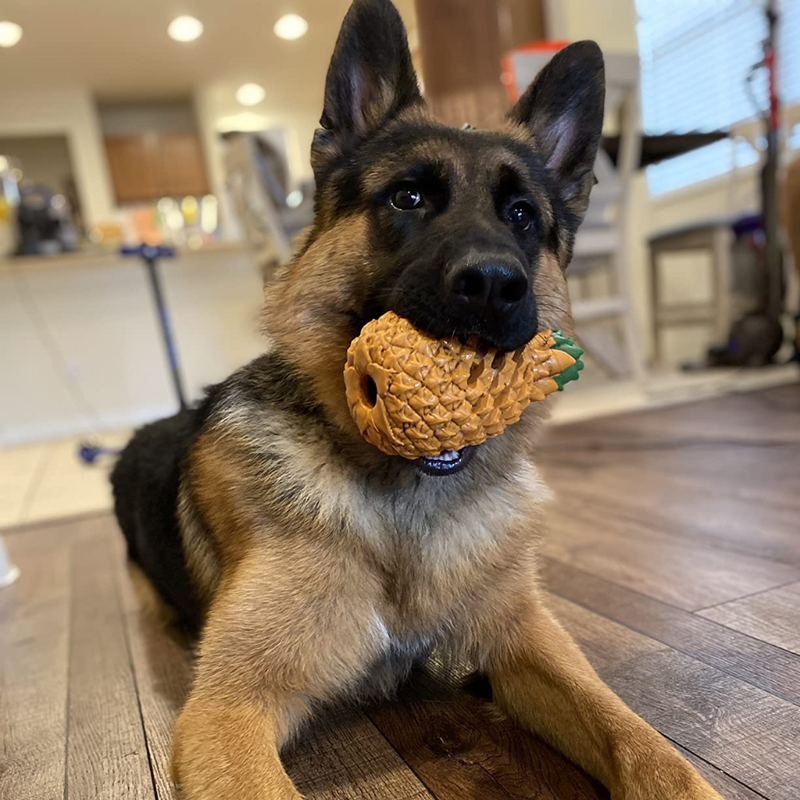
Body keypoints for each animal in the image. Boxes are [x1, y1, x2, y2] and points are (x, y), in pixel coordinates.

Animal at [111, 3, 724, 796]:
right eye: (408, 197)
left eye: (522, 215)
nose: (493, 285)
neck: (404, 504)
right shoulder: (228, 707)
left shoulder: (528, 644)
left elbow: (638, 737)